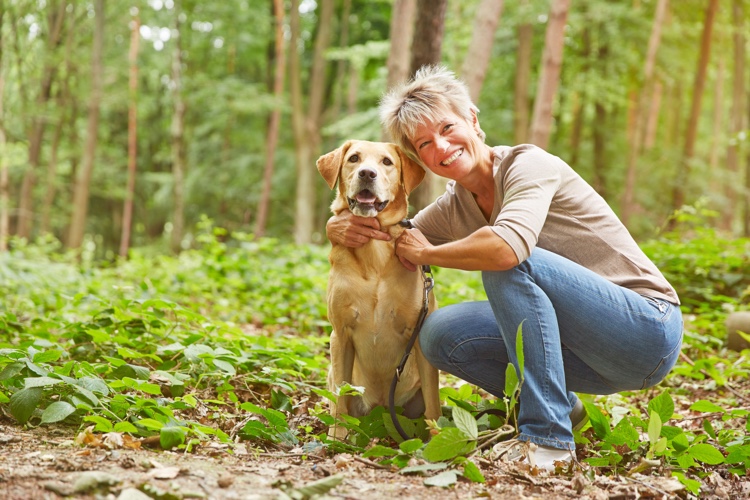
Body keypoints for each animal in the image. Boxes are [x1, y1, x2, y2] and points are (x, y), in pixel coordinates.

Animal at [316, 140, 444, 438]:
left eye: (387, 162)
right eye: (353, 158)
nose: (367, 173)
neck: (374, 251)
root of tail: (381, 411)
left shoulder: (418, 335)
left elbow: (433, 405)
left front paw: (437, 439)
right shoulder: (340, 335)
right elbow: (341, 396)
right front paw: (336, 438)